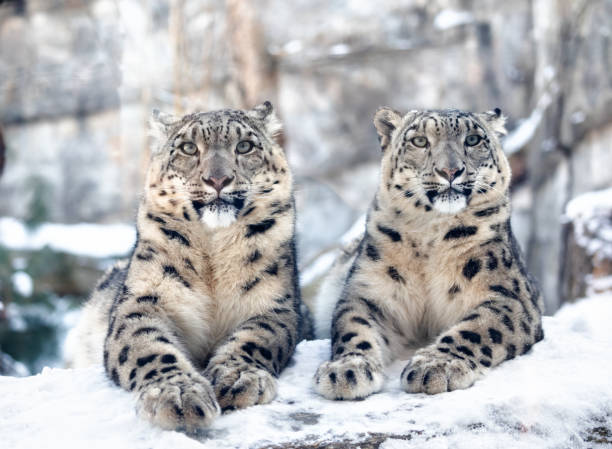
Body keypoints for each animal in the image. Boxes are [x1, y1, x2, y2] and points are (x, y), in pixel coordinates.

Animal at [67, 101, 304, 430]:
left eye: (244, 146)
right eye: (188, 148)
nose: (217, 180)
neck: (213, 255)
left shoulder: (274, 304)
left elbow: (255, 338)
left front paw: (238, 377)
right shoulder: (144, 300)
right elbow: (148, 346)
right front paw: (177, 396)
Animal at [314, 107, 544, 398]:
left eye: (472, 140)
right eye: (420, 141)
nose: (450, 170)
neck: (430, 235)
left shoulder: (508, 296)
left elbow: (477, 328)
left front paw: (437, 366)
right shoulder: (368, 293)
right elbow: (354, 328)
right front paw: (346, 370)